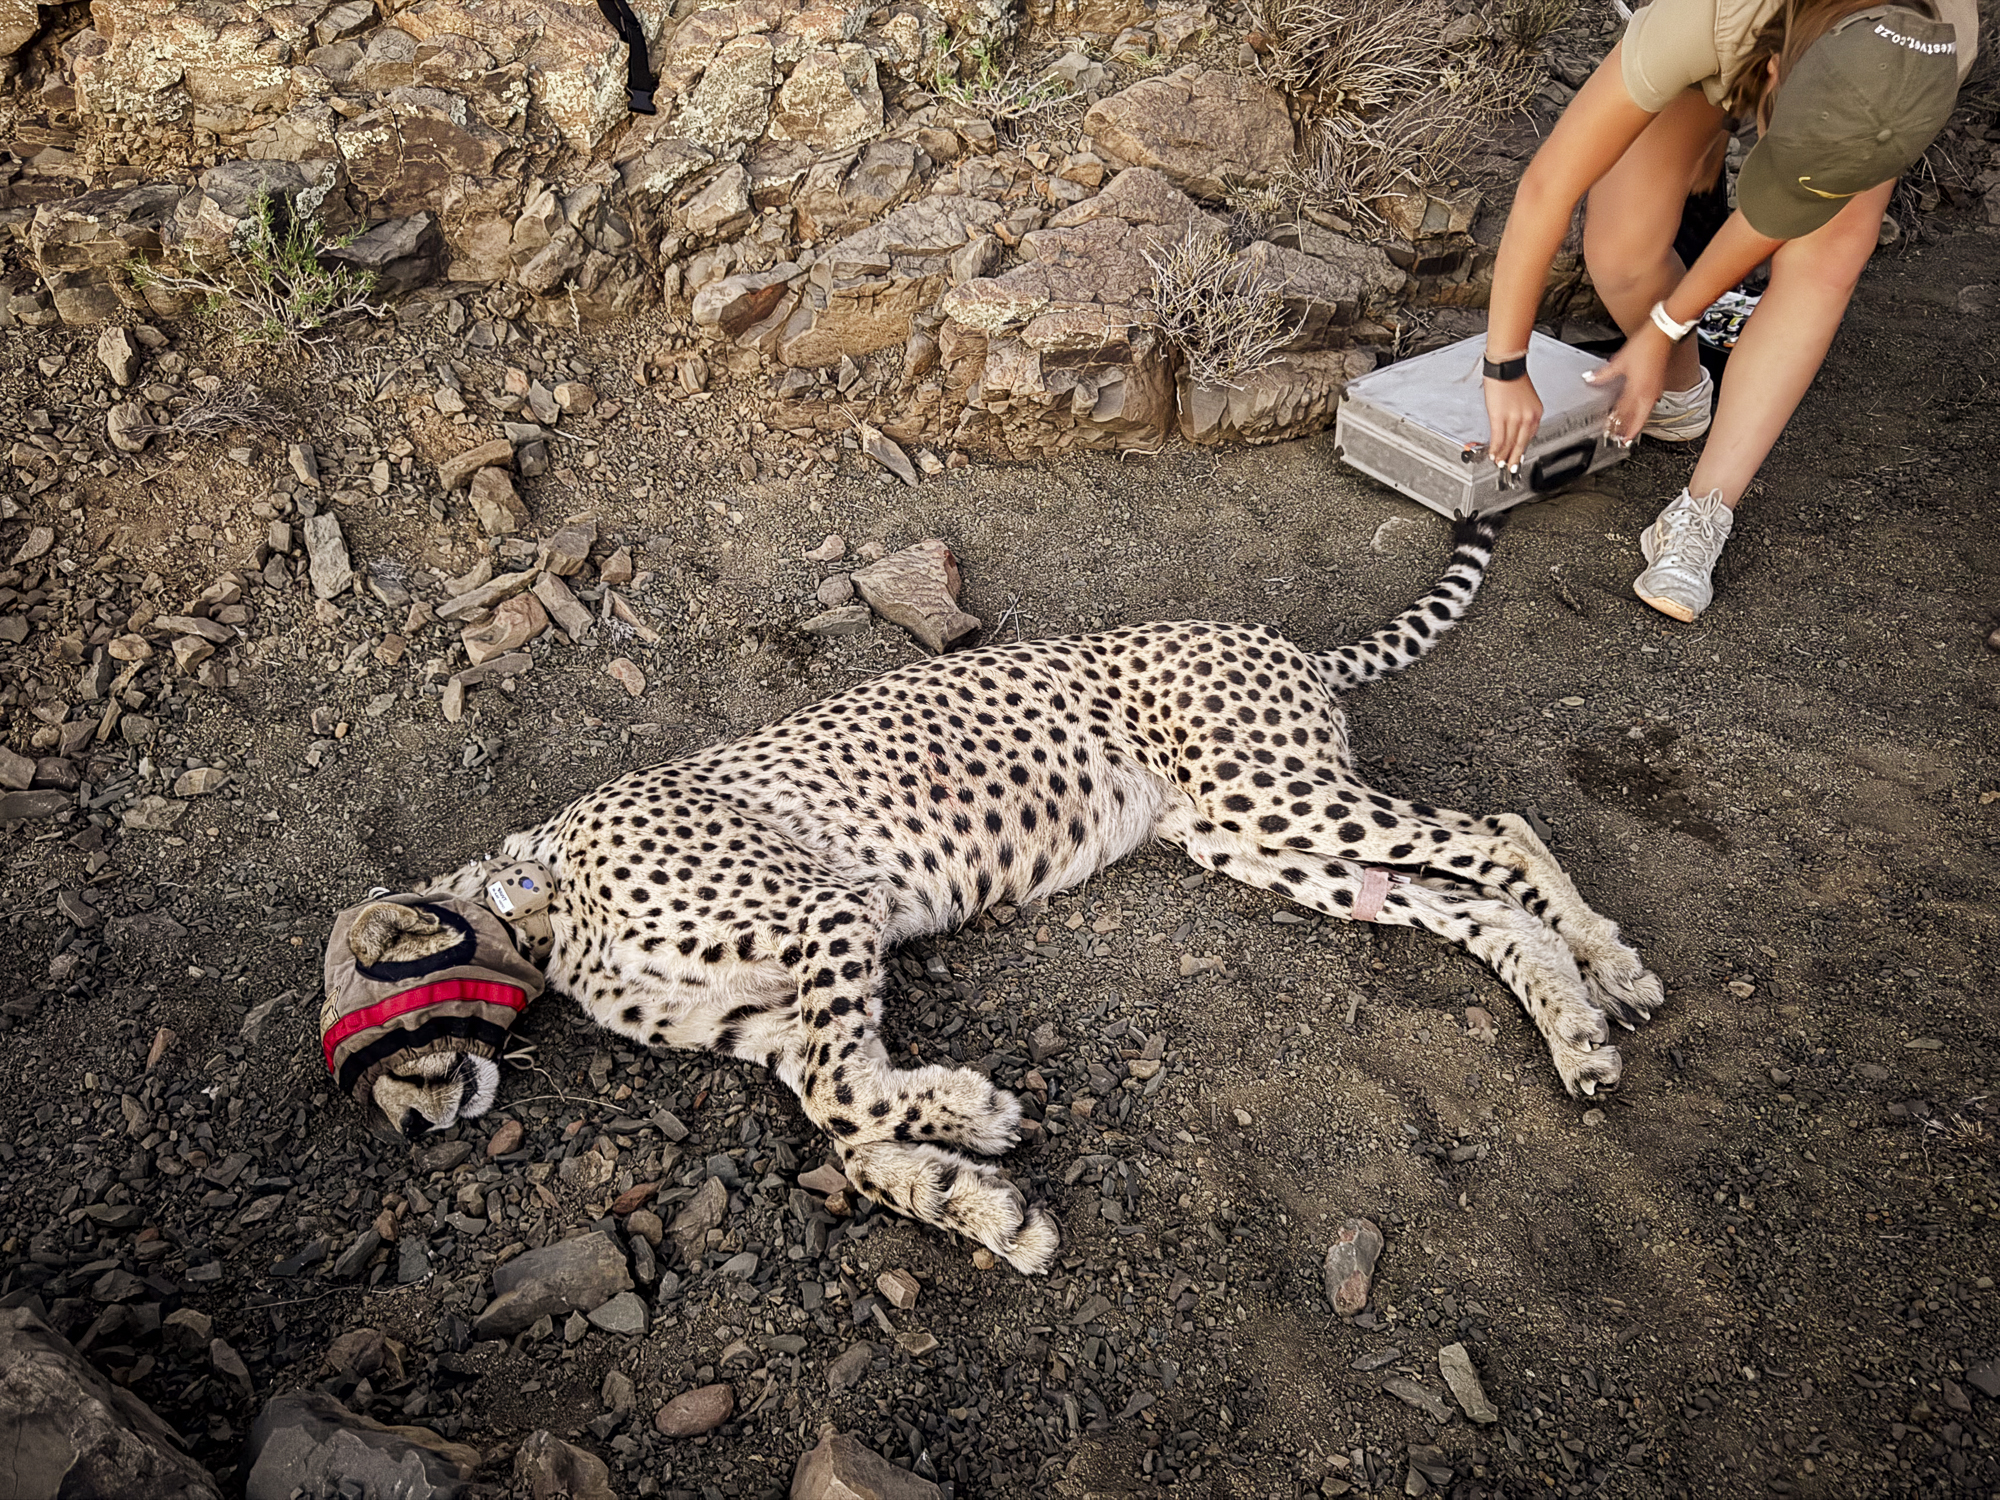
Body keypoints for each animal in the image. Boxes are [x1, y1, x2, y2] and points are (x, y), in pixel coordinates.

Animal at [347, 515, 1660, 1274]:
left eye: (367, 1032)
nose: (404, 1130)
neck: (541, 899)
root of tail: (1271, 635)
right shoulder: (776, 1014)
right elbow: (844, 1127)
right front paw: (976, 1199)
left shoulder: (831, 913)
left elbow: (846, 1100)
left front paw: (969, 1120)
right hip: (1248, 840)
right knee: (1466, 906)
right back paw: (1574, 1026)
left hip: (1270, 789)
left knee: (1497, 832)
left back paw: (1608, 972)